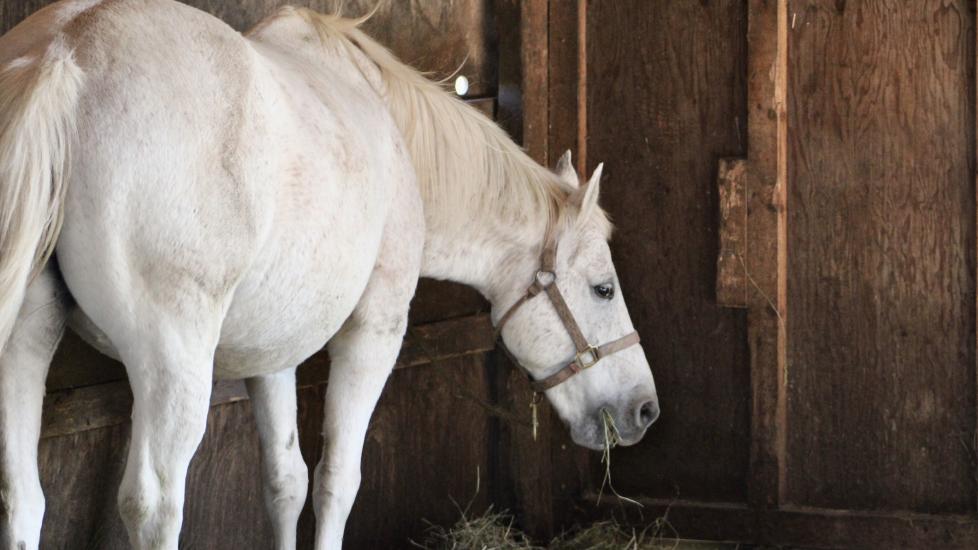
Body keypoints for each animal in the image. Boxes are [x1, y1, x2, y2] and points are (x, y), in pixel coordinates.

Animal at [0, 1, 659, 548]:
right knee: (153, 505)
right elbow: (338, 480)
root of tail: (67, 49)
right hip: (173, 364)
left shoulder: (274, 351)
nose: (645, 410)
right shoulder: (374, 332)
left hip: (25, 341)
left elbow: (286, 481)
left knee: (21, 500)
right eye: (603, 288)